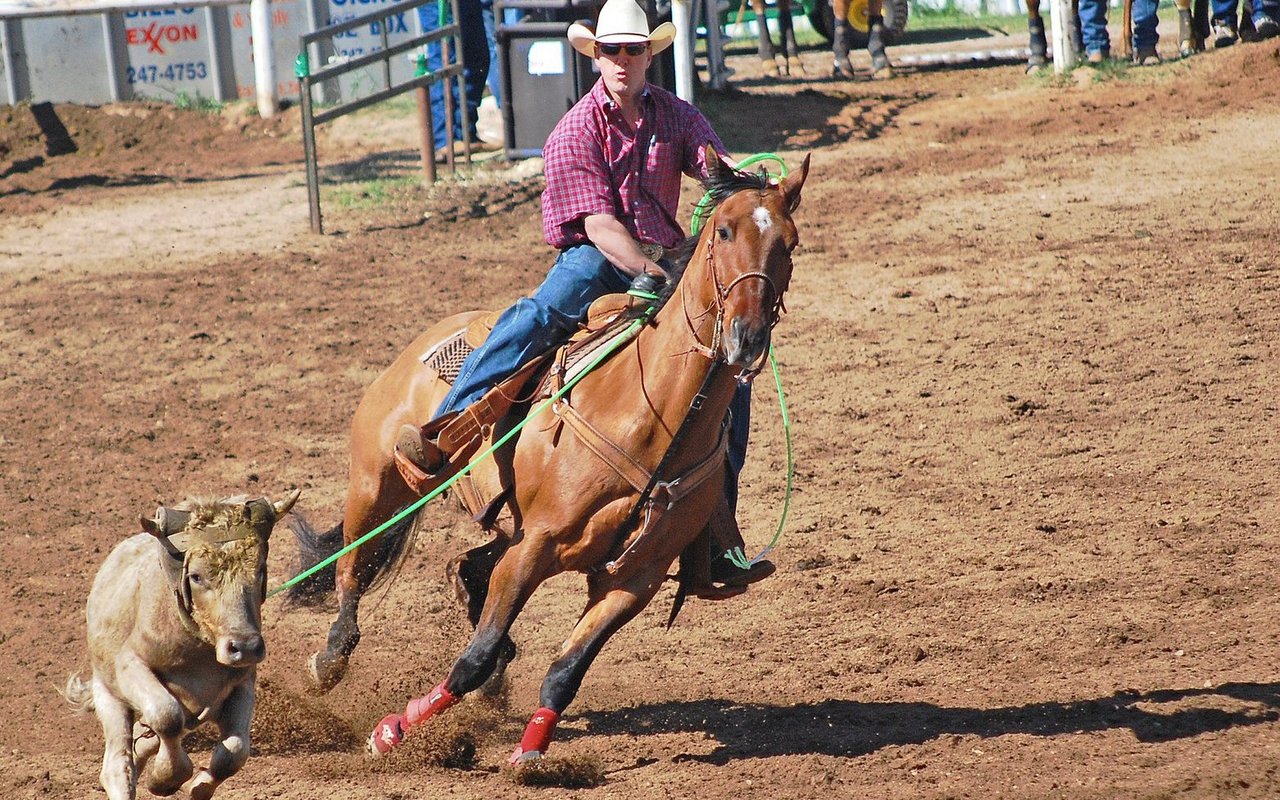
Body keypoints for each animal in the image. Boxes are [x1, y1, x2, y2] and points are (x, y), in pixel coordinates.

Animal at [64, 490, 299, 800]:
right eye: (196, 576)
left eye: (260, 569)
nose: (245, 646)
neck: (196, 651)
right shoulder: (130, 666)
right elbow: (167, 716)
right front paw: (166, 777)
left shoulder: (243, 681)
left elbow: (234, 751)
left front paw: (198, 785)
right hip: (108, 694)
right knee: (117, 764)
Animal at [289, 149, 809, 762]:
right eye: (724, 231)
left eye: (790, 242)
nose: (746, 337)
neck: (646, 416)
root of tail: (430, 336)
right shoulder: (536, 546)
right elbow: (473, 657)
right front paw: (394, 729)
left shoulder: (635, 579)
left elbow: (565, 670)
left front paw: (530, 753)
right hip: (377, 483)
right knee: (354, 566)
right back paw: (329, 661)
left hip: (501, 523)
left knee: (468, 569)